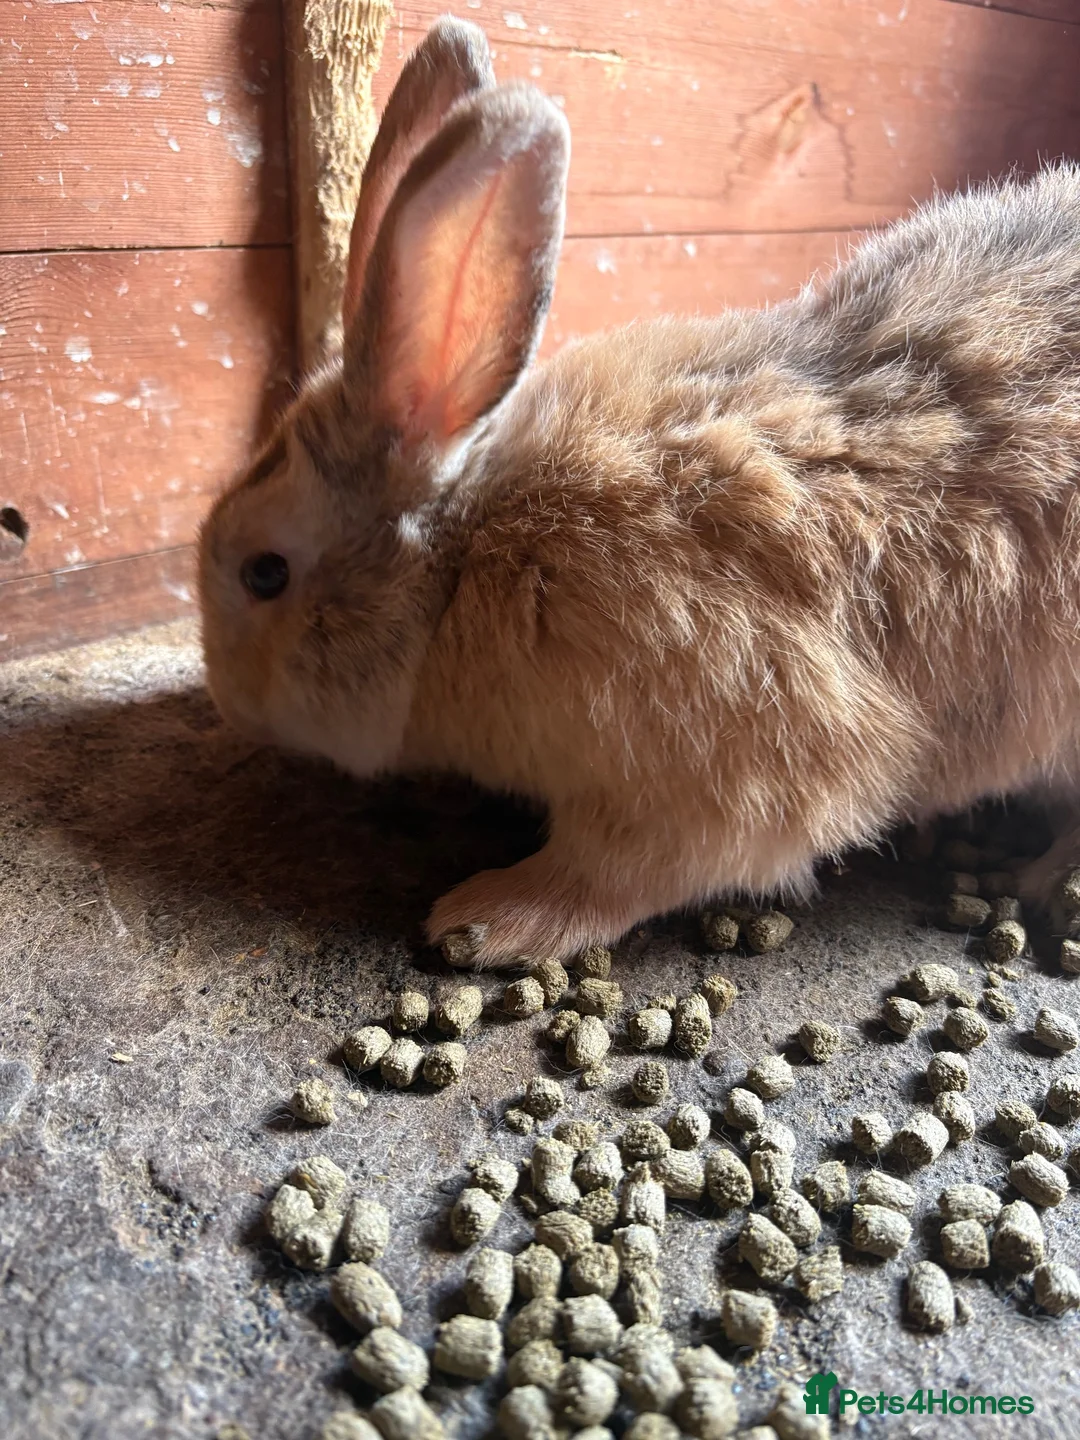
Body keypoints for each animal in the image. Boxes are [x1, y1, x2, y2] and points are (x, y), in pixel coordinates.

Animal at [199, 15, 1080, 967]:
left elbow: (623, 870)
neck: (462, 566)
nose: (223, 697)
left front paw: (491, 919)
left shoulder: (723, 755)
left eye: (264, 573)